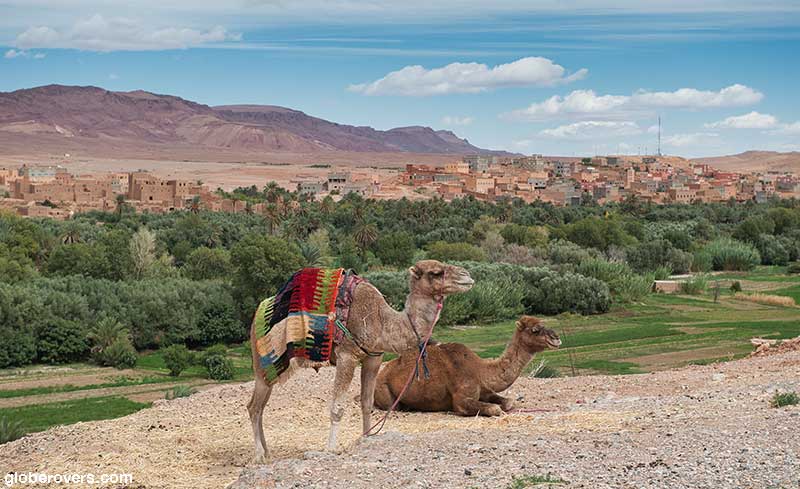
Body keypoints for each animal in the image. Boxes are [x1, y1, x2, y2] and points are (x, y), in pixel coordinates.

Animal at [247, 260, 474, 462]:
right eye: (436, 272)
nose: (468, 276)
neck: (382, 321)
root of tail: (257, 315)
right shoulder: (347, 356)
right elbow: (337, 408)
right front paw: (330, 449)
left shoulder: (373, 358)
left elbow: (367, 403)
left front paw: (367, 438)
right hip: (265, 363)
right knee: (254, 407)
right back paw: (259, 455)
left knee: (260, 407)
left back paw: (267, 453)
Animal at [373, 316, 560, 416]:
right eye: (535, 330)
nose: (556, 338)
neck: (480, 370)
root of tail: (381, 373)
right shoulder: (461, 399)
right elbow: (495, 409)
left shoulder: (484, 390)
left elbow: (508, 402)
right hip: (384, 391)